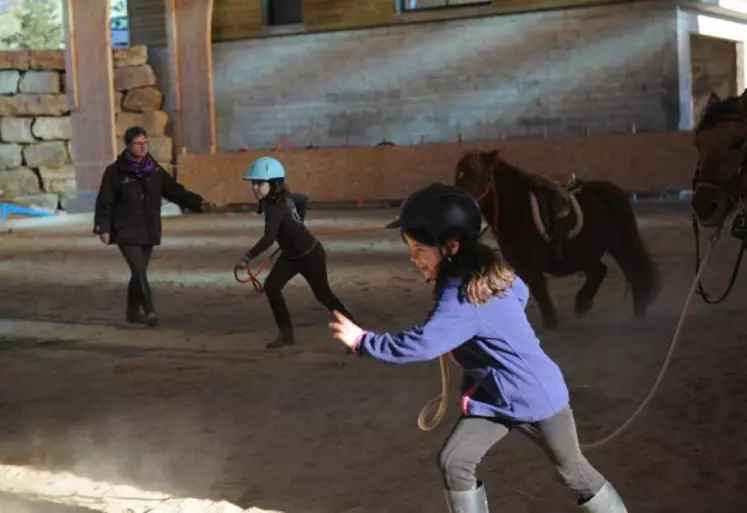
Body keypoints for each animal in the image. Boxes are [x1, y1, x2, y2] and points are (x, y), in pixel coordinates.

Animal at [456, 150, 660, 330]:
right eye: (457, 178)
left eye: (475, 178)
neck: (519, 210)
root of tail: (616, 192)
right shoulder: (519, 264)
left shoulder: (532, 264)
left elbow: (538, 289)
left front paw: (550, 323)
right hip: (586, 251)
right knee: (600, 271)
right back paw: (583, 304)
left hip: (621, 244)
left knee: (633, 272)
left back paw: (638, 312)